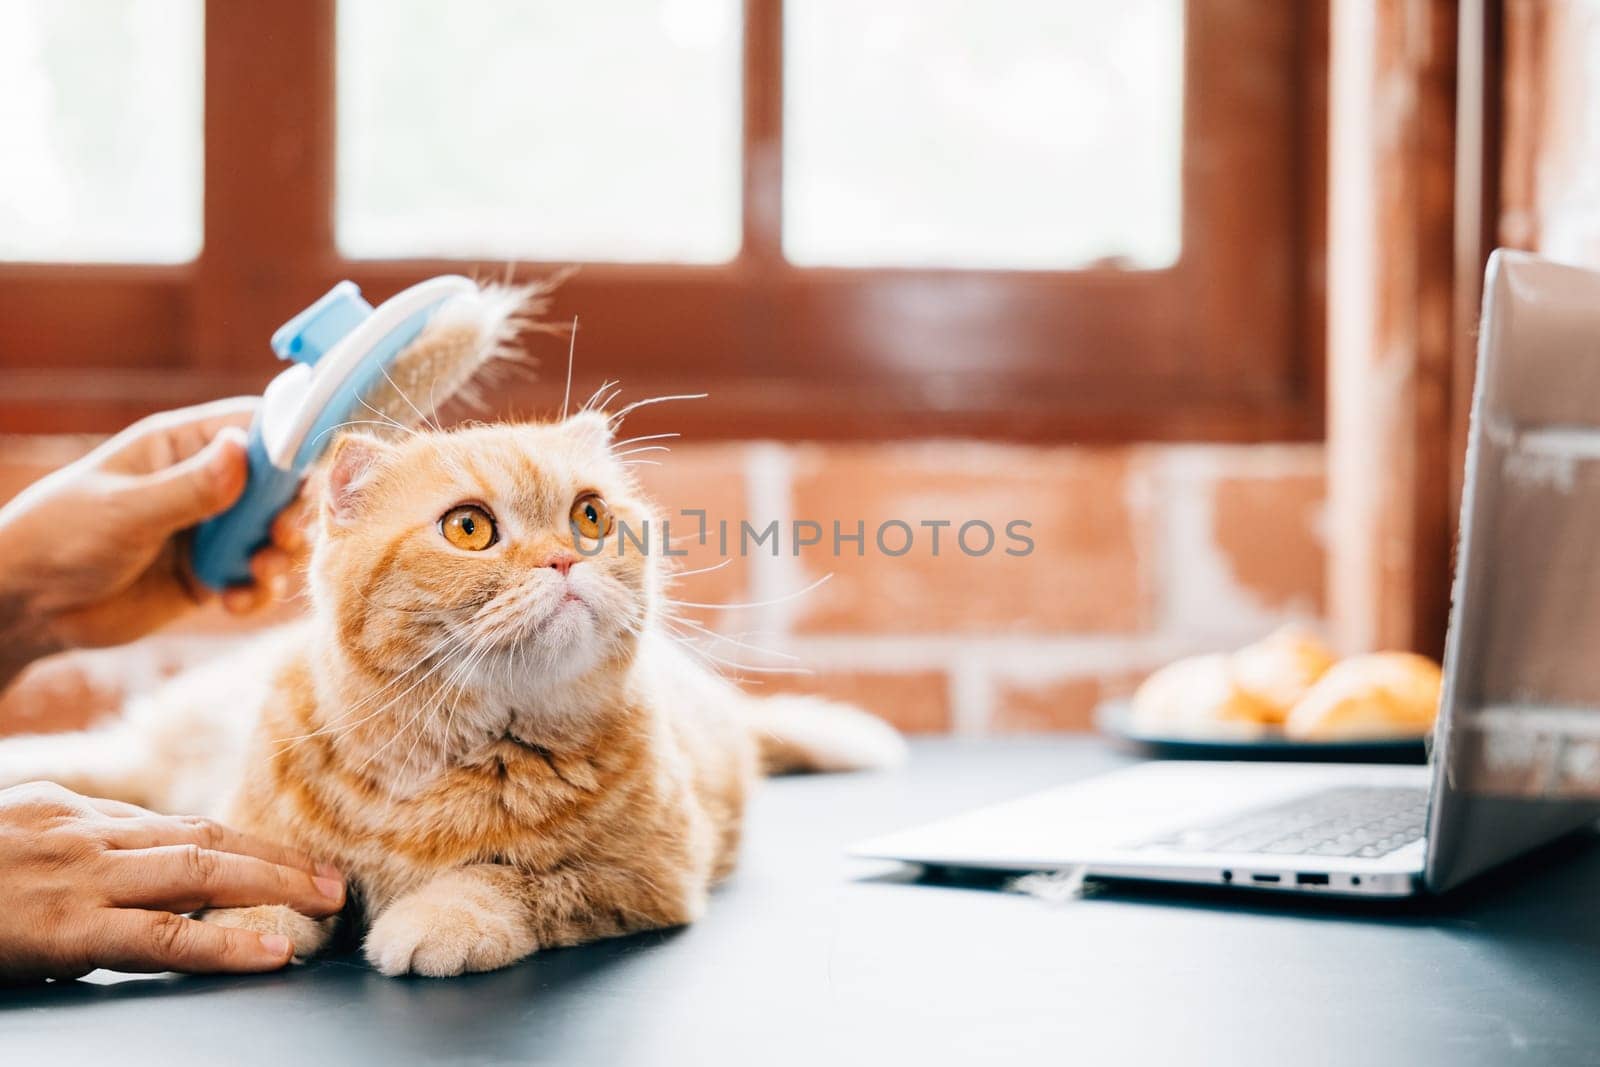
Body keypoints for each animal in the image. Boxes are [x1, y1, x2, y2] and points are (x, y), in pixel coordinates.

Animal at [0, 412, 908, 979]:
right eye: (470, 528)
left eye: (589, 517)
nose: (563, 560)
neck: (433, 756)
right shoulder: (247, 826)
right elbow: (260, 871)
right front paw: (251, 918)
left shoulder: (644, 876)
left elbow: (514, 879)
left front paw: (439, 918)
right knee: (104, 759)